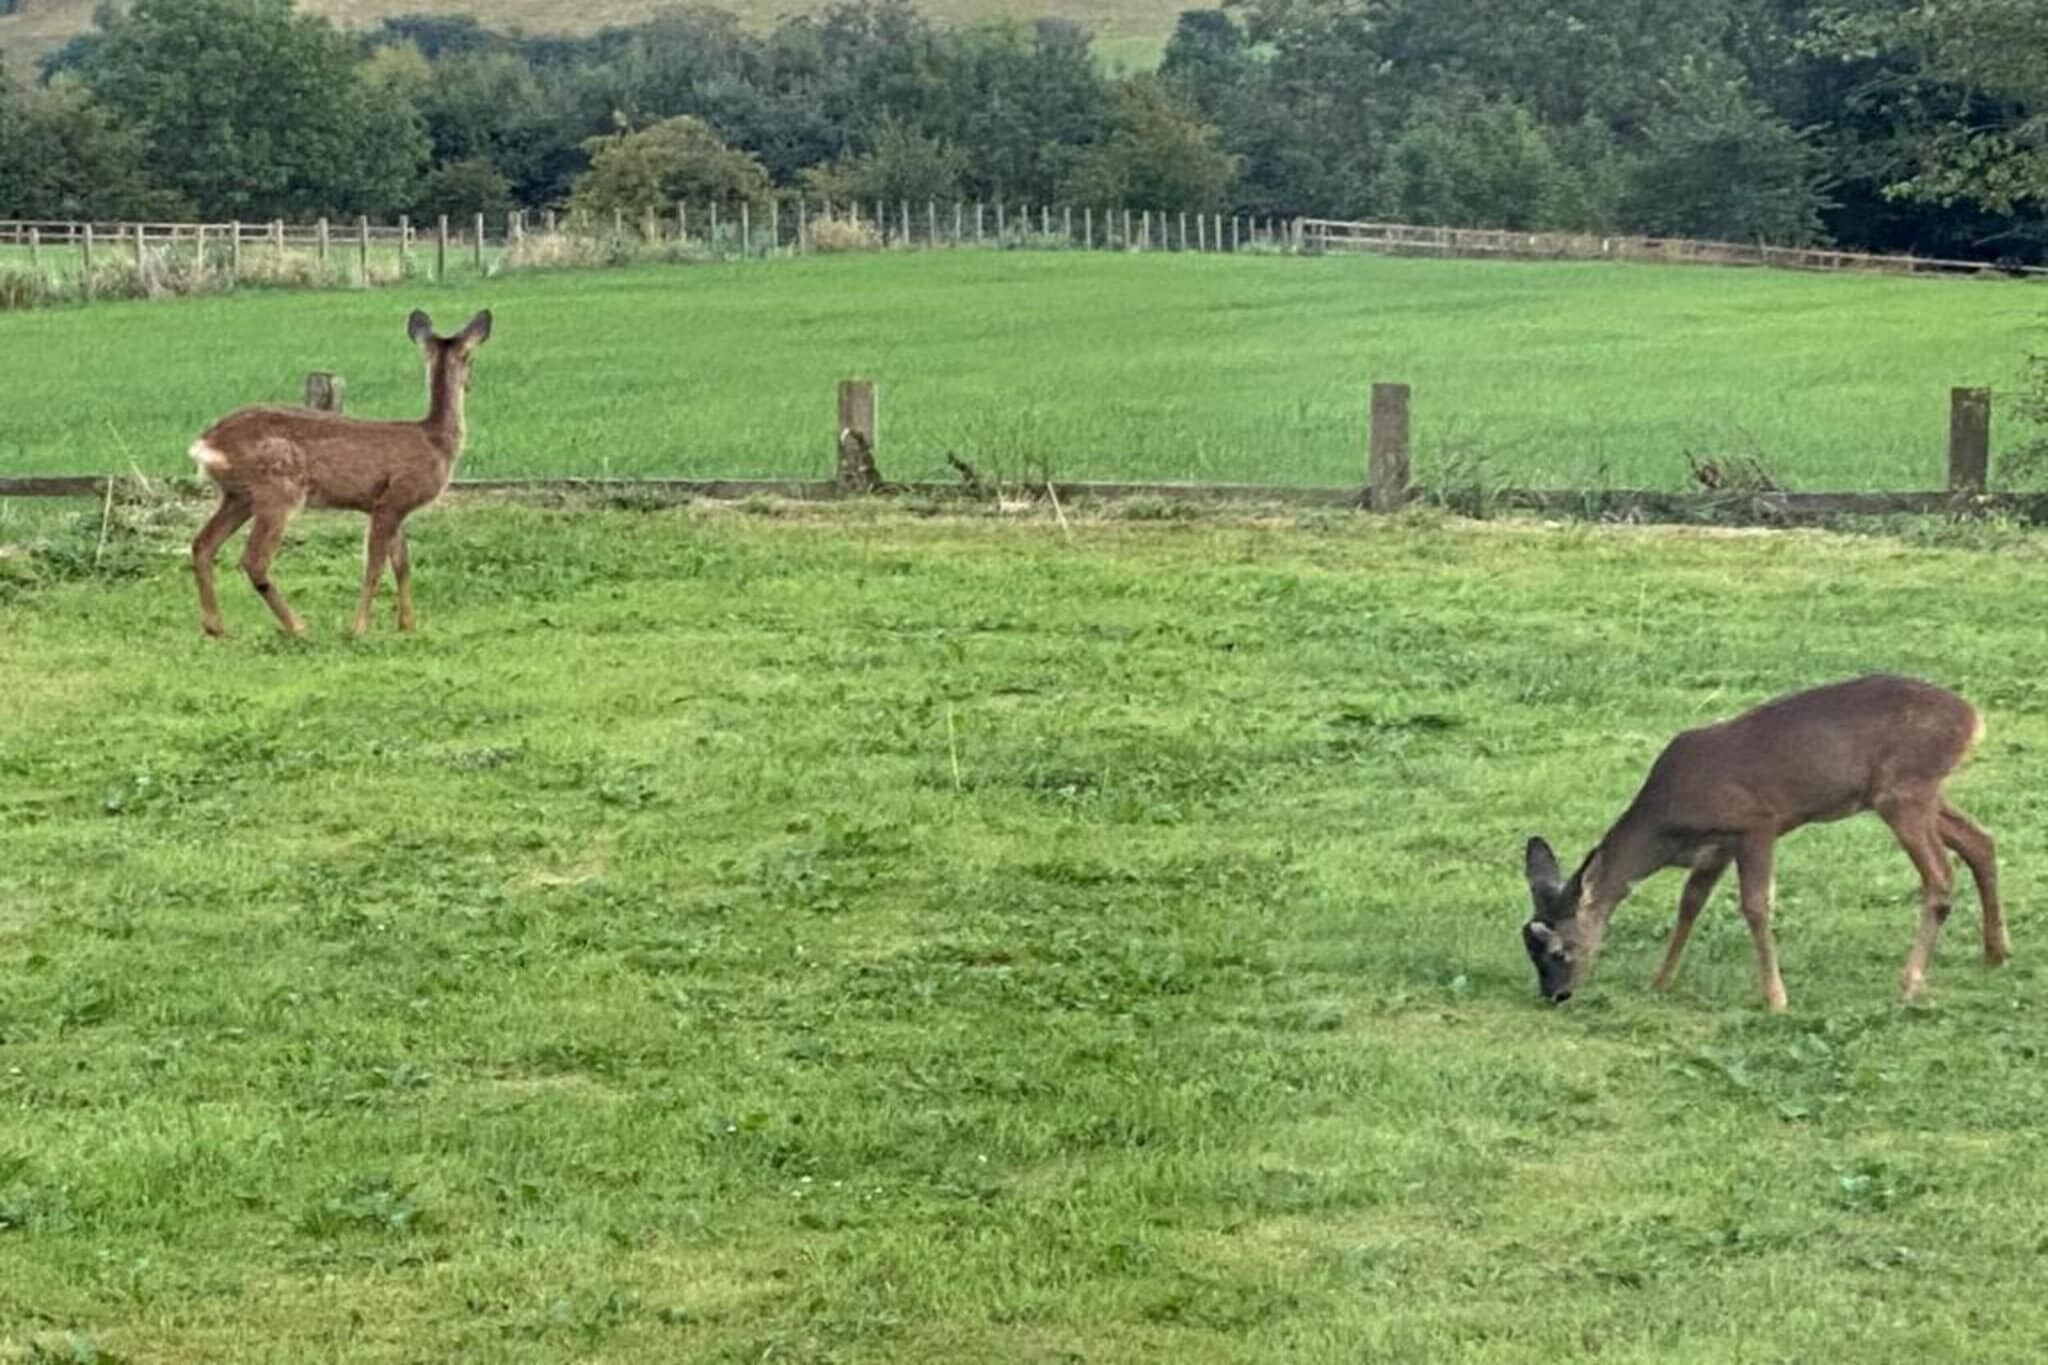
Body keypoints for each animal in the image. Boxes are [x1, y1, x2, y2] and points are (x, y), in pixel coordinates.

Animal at [188, 308, 492, 638]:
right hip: (278, 488)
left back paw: (215, 627)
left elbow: (402, 563)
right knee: (254, 559)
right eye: (471, 358)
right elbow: (374, 567)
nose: (471, 383)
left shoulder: (386, 505)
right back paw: (297, 626)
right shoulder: (394, 498)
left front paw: (408, 625)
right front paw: (359, 628)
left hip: (238, 495)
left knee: (203, 544)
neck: (435, 441)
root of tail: (206, 444)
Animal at [1521, 674, 2007, 1012]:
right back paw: (1996, 953)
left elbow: (1755, 906)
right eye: (1531, 952)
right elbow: (1690, 904)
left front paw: (1775, 998)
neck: (1666, 827)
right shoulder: (1714, 849)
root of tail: (1974, 720)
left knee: (1940, 876)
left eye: (1560, 950)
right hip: (1911, 793)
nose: (1555, 995)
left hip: (1903, 792)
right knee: (1980, 841)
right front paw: (1661, 981)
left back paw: (1911, 982)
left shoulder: (1756, 825)